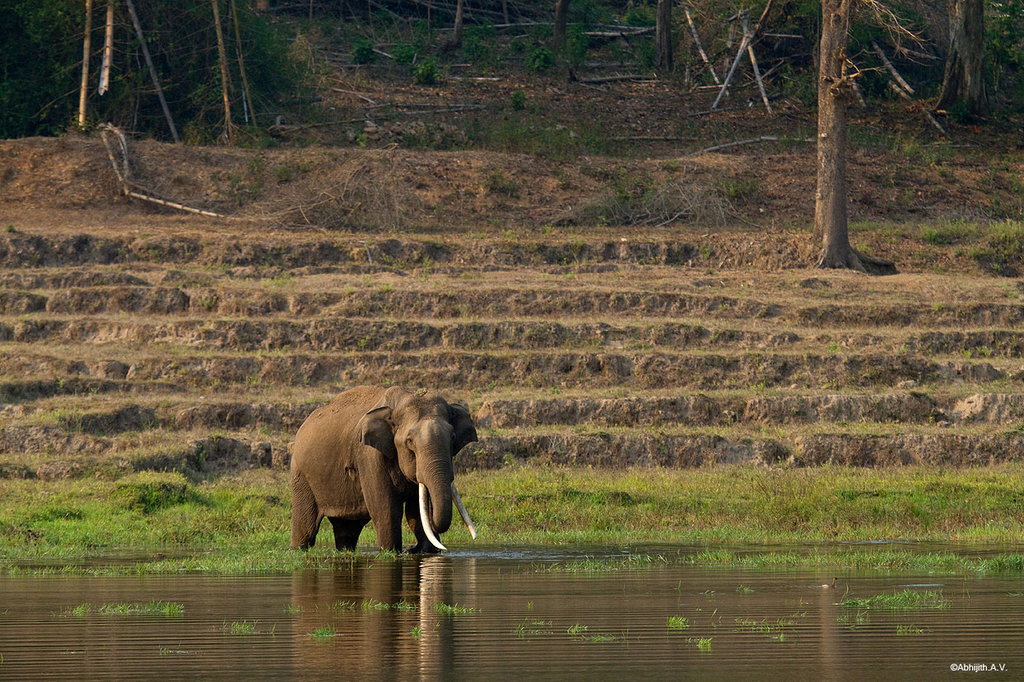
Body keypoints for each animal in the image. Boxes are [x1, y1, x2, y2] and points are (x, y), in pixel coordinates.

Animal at [290, 385, 478, 553]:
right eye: (409, 441)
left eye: (453, 437)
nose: (411, 548)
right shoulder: (369, 456)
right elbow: (386, 508)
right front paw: (391, 551)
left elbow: (416, 510)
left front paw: (425, 551)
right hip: (301, 475)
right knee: (306, 528)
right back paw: (298, 549)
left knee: (347, 530)